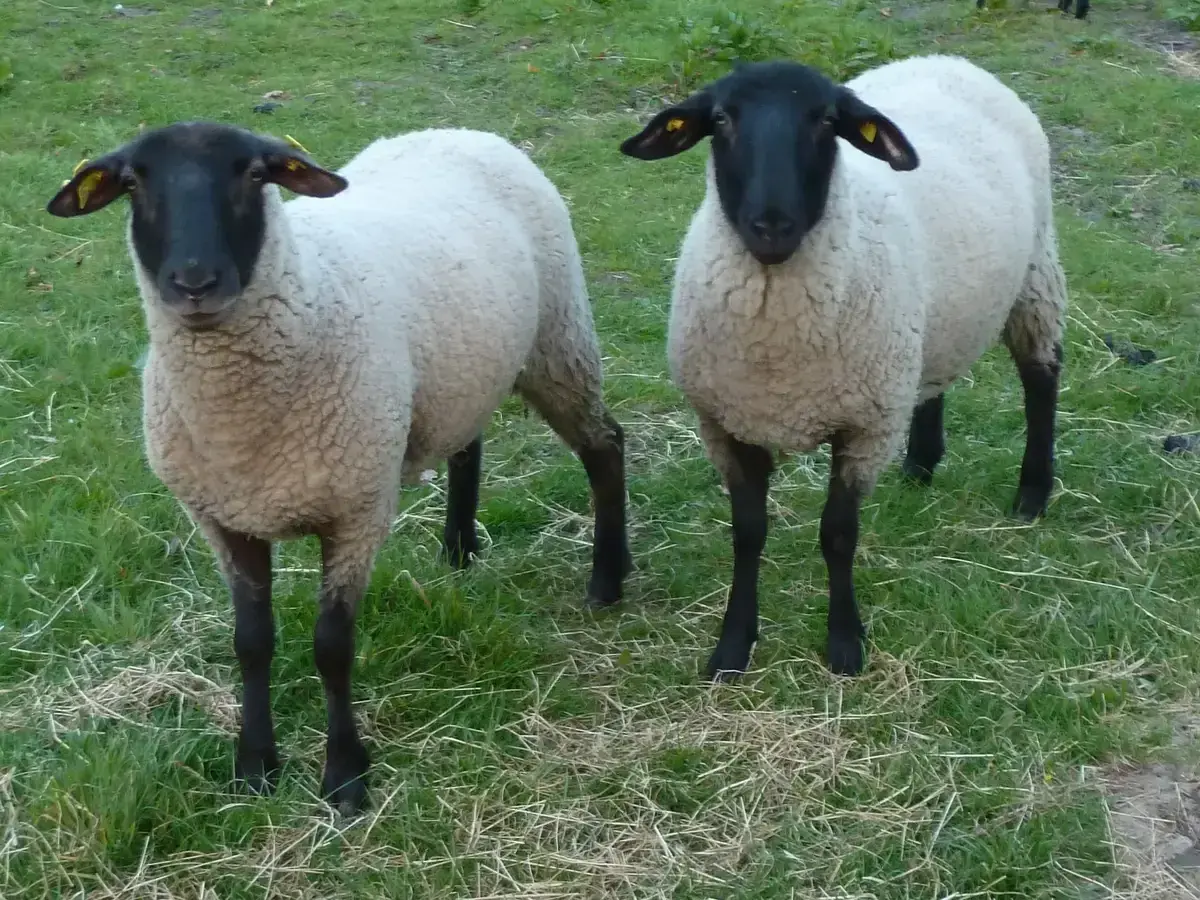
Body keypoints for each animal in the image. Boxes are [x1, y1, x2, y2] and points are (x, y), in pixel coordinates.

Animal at [46, 121, 632, 815]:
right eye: (134, 182)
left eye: (254, 174)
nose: (194, 282)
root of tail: (459, 129)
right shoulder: (224, 520)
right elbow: (251, 642)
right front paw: (255, 766)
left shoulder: (357, 510)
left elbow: (331, 647)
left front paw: (346, 777)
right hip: (462, 373)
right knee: (469, 444)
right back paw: (459, 550)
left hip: (559, 341)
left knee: (606, 447)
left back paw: (608, 578)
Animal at [618, 55, 1067, 680]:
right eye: (722, 119)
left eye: (827, 120)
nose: (772, 225)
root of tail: (947, 60)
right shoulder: (726, 425)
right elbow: (747, 534)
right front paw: (732, 648)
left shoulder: (864, 427)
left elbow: (838, 534)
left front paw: (845, 643)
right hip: (925, 327)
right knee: (933, 379)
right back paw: (920, 464)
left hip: (1036, 274)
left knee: (1041, 377)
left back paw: (1032, 493)